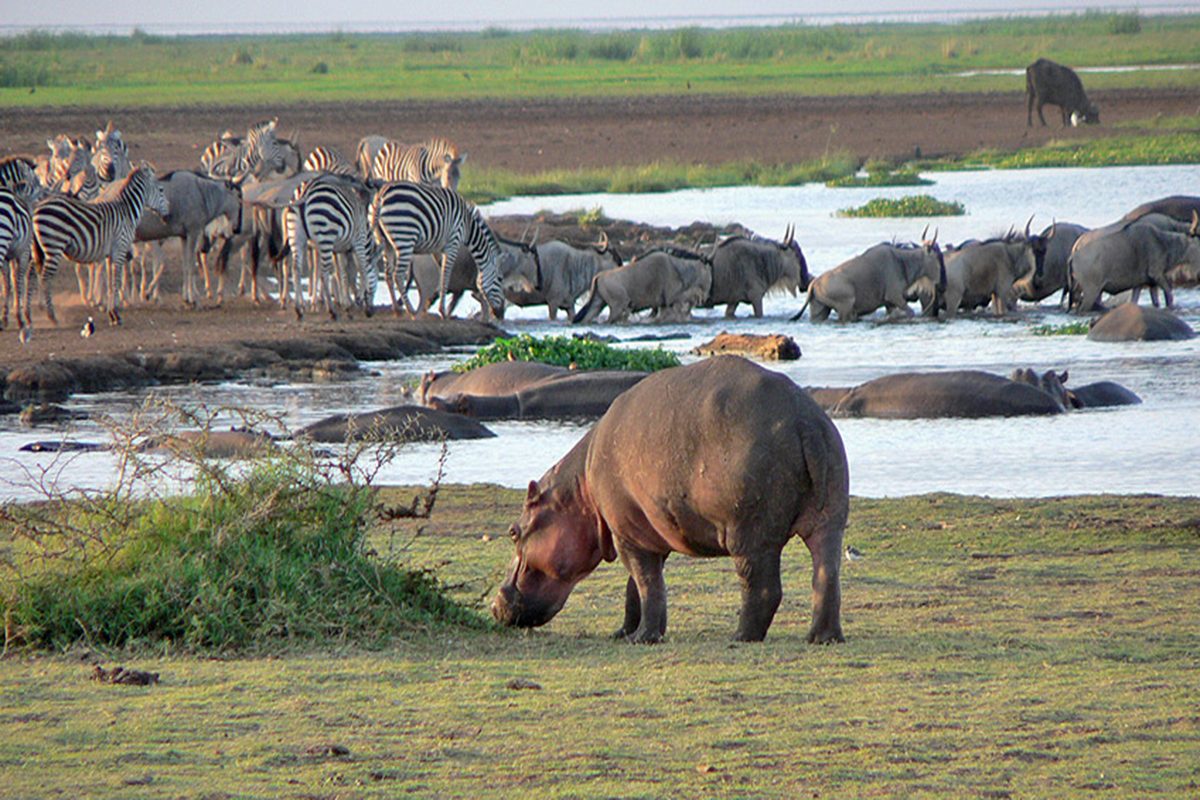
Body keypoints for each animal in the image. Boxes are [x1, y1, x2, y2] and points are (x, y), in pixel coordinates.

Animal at [29, 164, 169, 326]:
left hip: (40, 249)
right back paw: (51, 316)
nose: (168, 213)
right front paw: (115, 314)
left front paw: (111, 313)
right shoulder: (120, 249)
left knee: (34, 273)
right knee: (45, 277)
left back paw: (32, 312)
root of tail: (37, 207)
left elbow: (109, 282)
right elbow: (116, 281)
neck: (126, 211)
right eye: (161, 190)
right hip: (54, 246)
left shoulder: (111, 254)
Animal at [283, 173, 376, 316]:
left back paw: (299, 308)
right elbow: (362, 269)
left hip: (296, 237)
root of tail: (306, 191)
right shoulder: (358, 241)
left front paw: (347, 303)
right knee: (323, 272)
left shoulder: (340, 249)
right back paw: (331, 310)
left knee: (296, 269)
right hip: (325, 236)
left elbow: (343, 273)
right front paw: (356, 300)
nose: (371, 311)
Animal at [362, 181, 499, 319]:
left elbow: (441, 270)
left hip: (385, 242)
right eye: (499, 280)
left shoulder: (439, 248)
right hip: (405, 236)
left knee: (388, 274)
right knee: (398, 275)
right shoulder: (453, 243)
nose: (499, 314)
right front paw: (443, 311)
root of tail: (381, 194)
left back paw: (397, 309)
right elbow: (446, 274)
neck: (468, 226)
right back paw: (411, 311)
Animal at [492, 357, 849, 642]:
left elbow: (648, 586)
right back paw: (823, 637)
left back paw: (741, 636)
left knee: (763, 587)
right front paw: (623, 633)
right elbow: (635, 588)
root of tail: (804, 420)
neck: (578, 491)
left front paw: (642, 638)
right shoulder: (640, 531)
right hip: (830, 517)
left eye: (513, 532)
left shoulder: (627, 535)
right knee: (826, 575)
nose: (495, 605)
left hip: (749, 533)